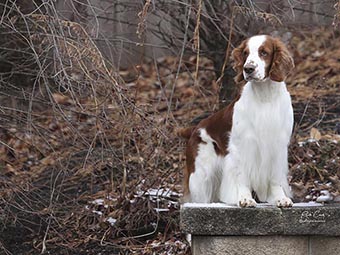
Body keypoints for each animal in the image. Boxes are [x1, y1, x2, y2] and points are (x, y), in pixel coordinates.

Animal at [179, 34, 294, 207]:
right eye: (245, 53)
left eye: (264, 52)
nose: (248, 69)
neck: (265, 97)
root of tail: (194, 129)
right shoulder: (242, 146)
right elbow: (242, 177)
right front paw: (245, 199)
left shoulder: (278, 146)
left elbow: (275, 179)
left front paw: (280, 198)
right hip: (200, 177)